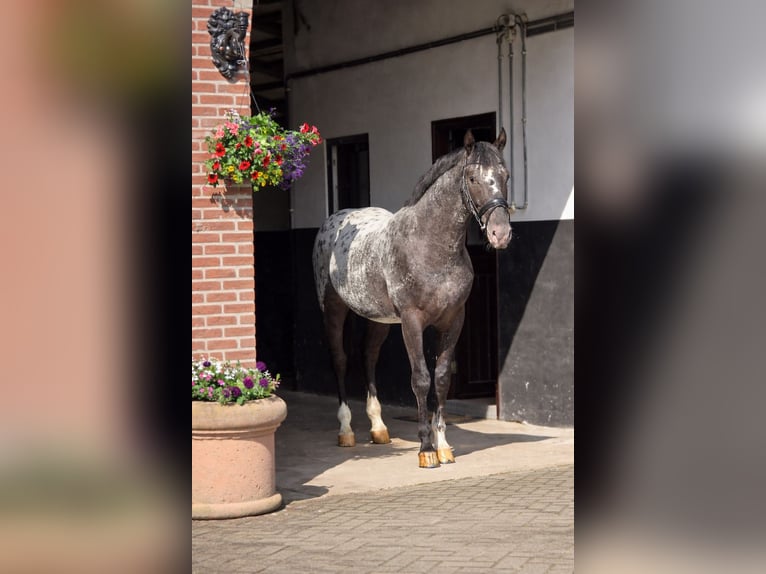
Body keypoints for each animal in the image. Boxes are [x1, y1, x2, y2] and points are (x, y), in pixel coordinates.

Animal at [312, 129, 512, 467]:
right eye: (472, 178)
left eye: (505, 175)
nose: (501, 234)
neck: (430, 244)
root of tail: (335, 220)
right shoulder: (412, 321)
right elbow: (420, 378)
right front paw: (426, 449)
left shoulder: (453, 320)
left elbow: (441, 378)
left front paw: (443, 445)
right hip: (333, 310)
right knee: (339, 360)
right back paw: (346, 431)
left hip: (378, 319)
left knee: (368, 357)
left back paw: (379, 428)